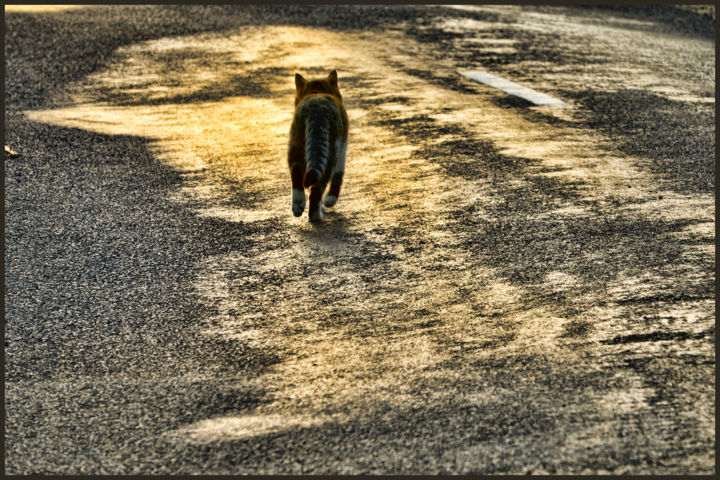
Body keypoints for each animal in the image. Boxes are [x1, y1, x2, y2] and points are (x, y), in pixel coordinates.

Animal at [286, 70, 348, 223]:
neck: (317, 90)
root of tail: (316, 108)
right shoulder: (342, 149)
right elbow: (338, 176)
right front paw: (330, 199)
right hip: (331, 152)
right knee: (318, 187)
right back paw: (315, 216)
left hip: (296, 144)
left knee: (297, 173)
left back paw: (298, 206)